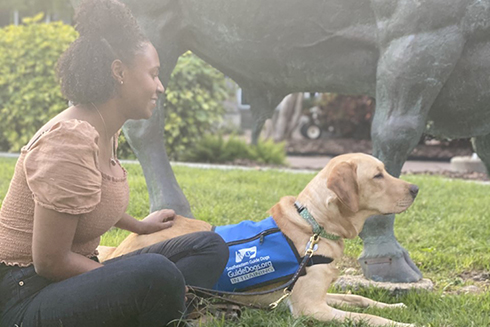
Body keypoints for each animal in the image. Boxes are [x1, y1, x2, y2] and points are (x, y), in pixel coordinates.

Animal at [98, 154, 418, 327]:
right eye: (378, 176)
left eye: (385, 170)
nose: (416, 188)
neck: (315, 225)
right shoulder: (311, 309)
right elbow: (369, 320)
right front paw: (404, 321)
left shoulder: (316, 297)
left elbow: (361, 300)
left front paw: (396, 307)